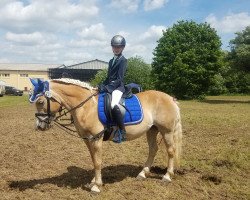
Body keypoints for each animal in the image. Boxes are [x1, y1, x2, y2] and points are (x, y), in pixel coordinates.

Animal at [29, 77, 183, 192]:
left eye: (40, 101)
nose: (39, 126)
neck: (86, 106)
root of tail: (170, 98)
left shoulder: (96, 138)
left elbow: (97, 162)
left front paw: (97, 186)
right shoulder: (88, 139)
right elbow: (94, 160)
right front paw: (93, 182)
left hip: (167, 131)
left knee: (171, 151)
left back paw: (167, 176)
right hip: (152, 130)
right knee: (153, 150)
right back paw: (142, 174)